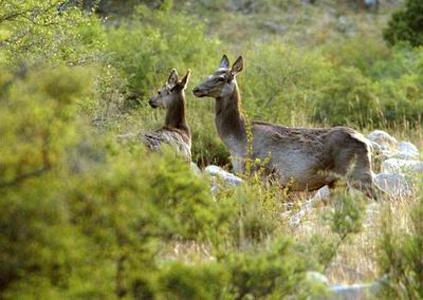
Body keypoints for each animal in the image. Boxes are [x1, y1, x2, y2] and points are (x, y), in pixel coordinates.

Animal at [194, 55, 382, 199]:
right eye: (209, 74)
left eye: (221, 78)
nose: (196, 89)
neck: (237, 140)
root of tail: (368, 144)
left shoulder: (263, 174)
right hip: (339, 183)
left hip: (359, 175)